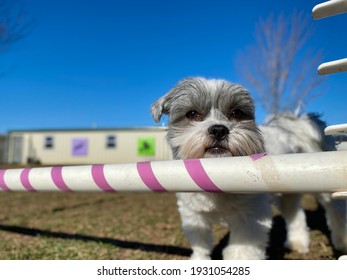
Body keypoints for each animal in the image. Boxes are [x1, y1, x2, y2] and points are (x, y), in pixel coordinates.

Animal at [151, 77, 274, 260]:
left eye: (236, 113)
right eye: (192, 114)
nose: (218, 129)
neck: (217, 174)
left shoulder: (252, 218)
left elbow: (242, 252)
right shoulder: (194, 216)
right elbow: (201, 244)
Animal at [260, 111, 347, 254]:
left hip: (320, 180)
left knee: (336, 208)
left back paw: (343, 240)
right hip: (288, 191)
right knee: (294, 214)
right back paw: (297, 242)